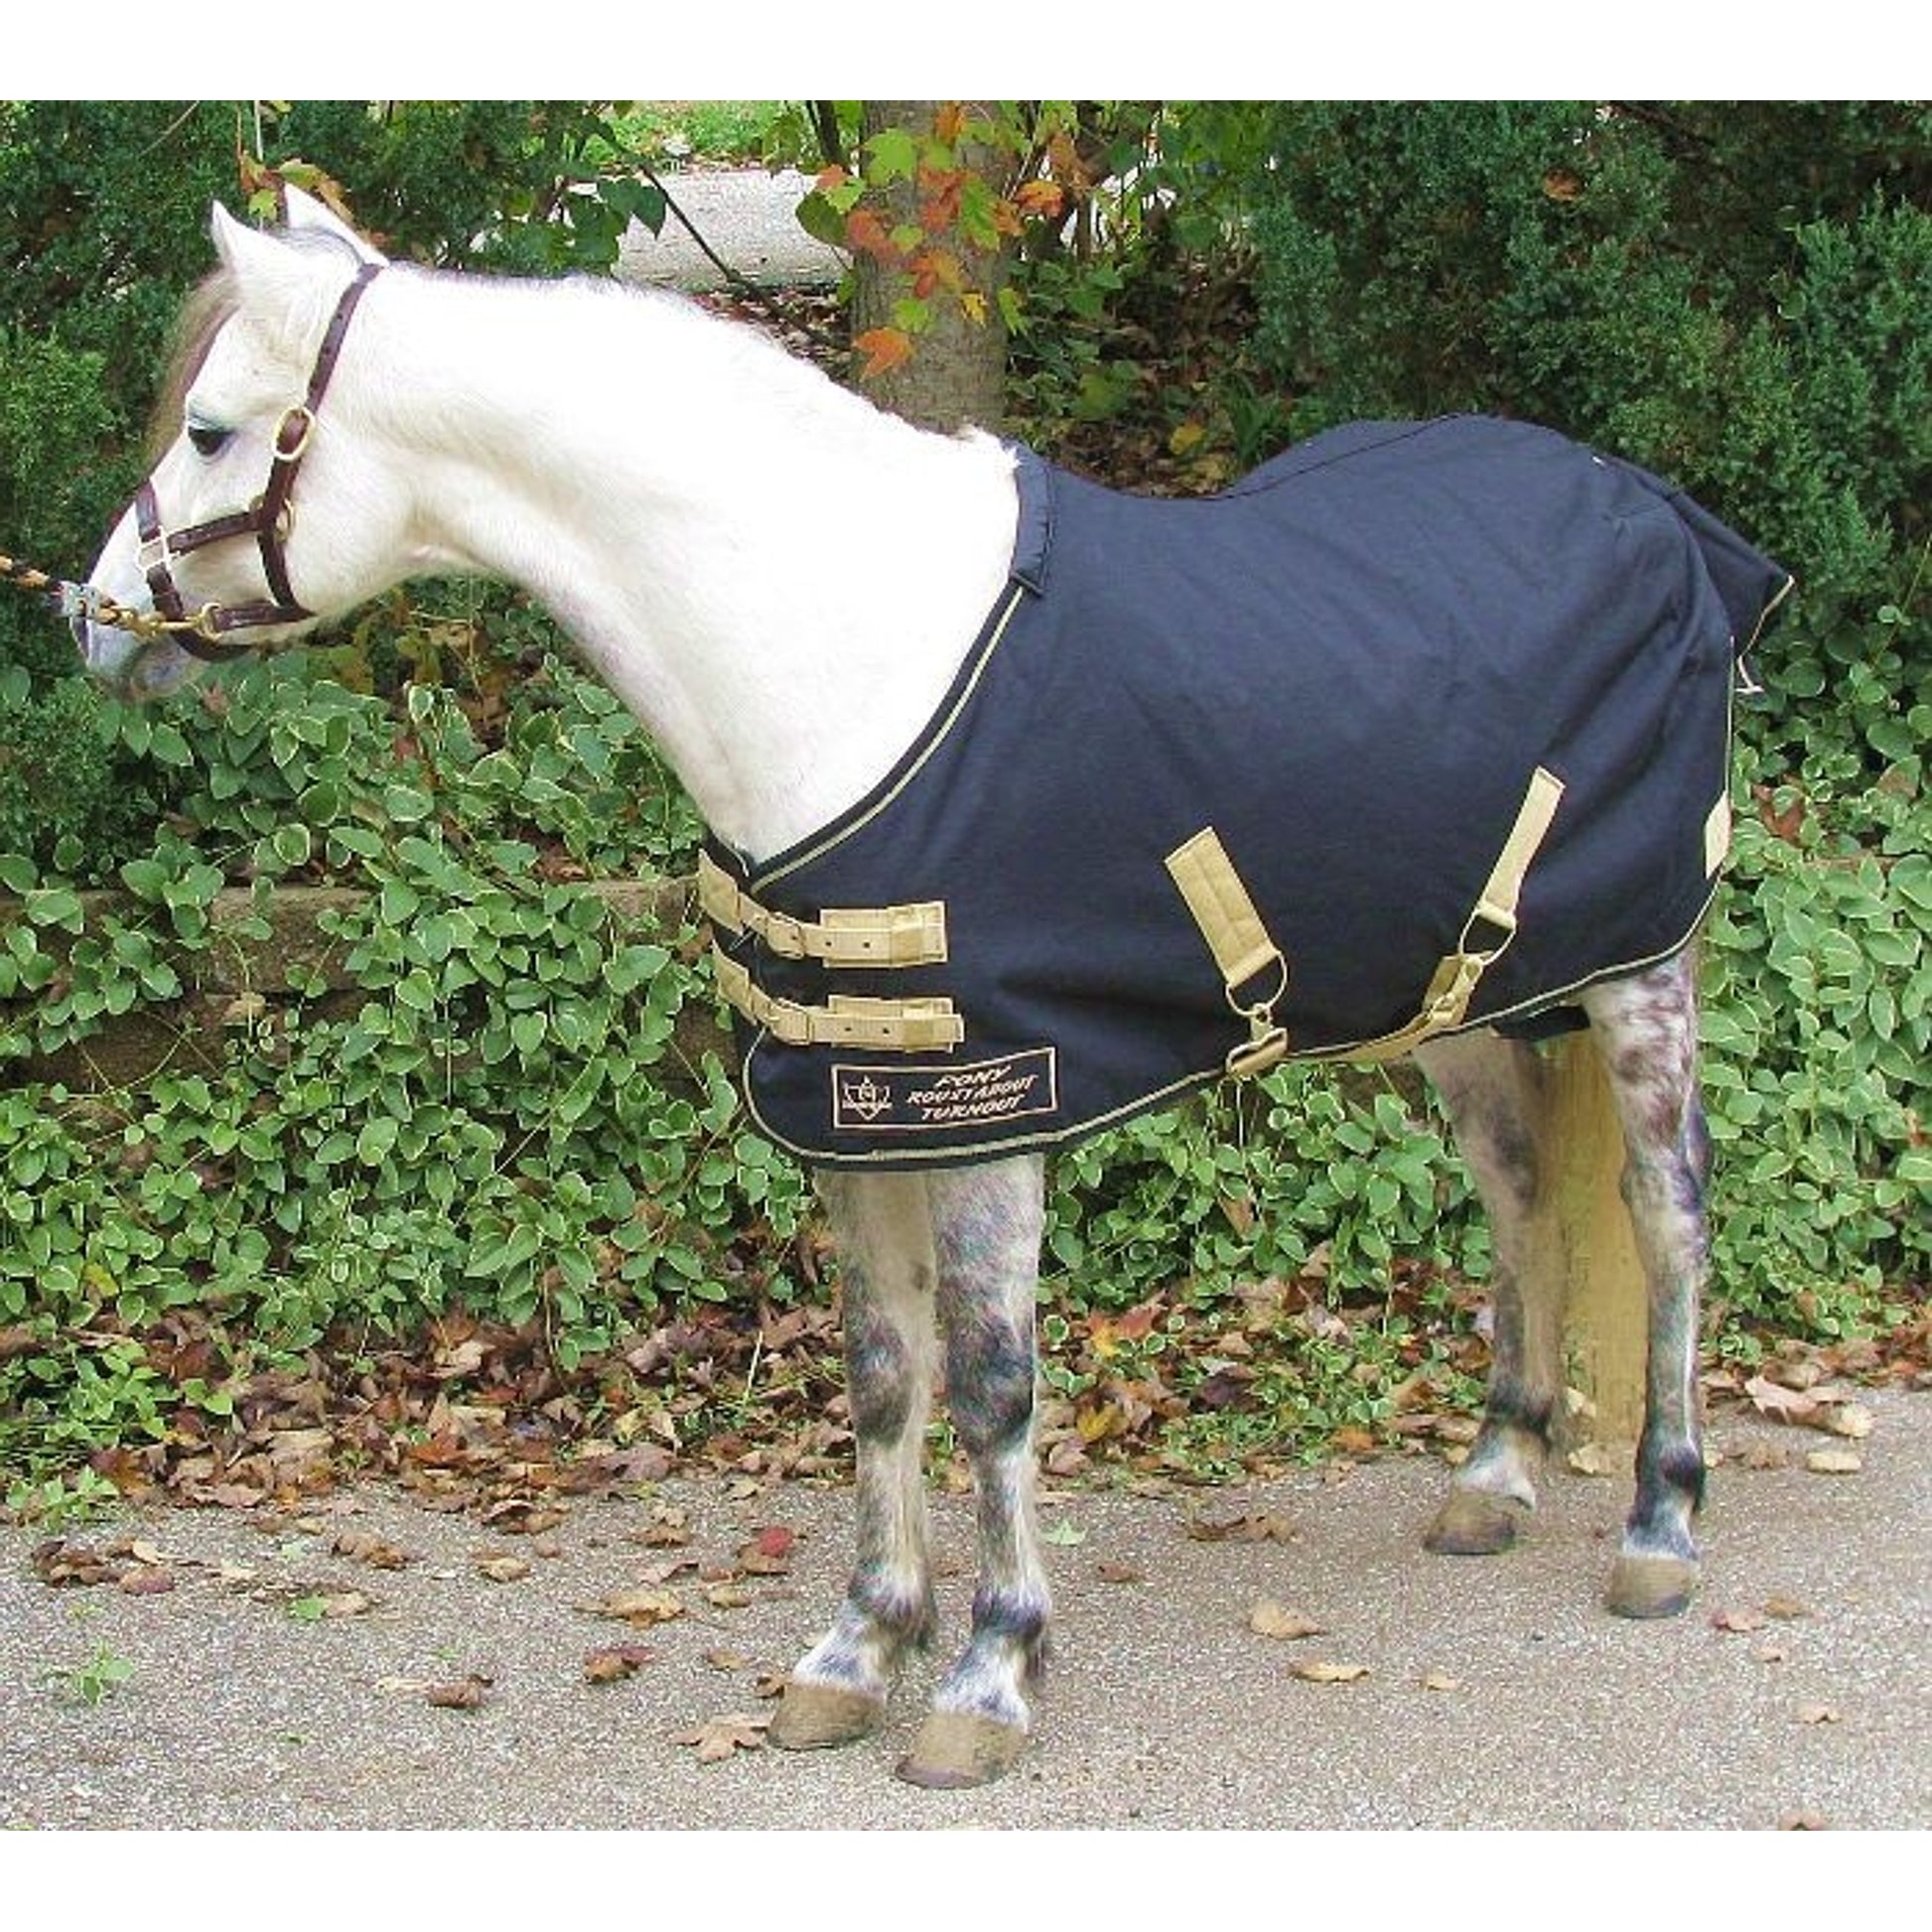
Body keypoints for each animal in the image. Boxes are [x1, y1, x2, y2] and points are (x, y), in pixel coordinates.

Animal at [74, 191, 1790, 1790]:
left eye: (213, 427)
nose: (88, 622)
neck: (849, 660)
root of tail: (1654, 517)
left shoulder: (987, 1104)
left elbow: (991, 1384)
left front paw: (989, 1671)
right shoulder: (855, 1118)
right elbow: (883, 1376)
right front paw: (860, 1646)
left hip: (1642, 972)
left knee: (1665, 1210)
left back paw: (1658, 1518)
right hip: (1468, 1004)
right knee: (1518, 1190)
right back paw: (1494, 1474)